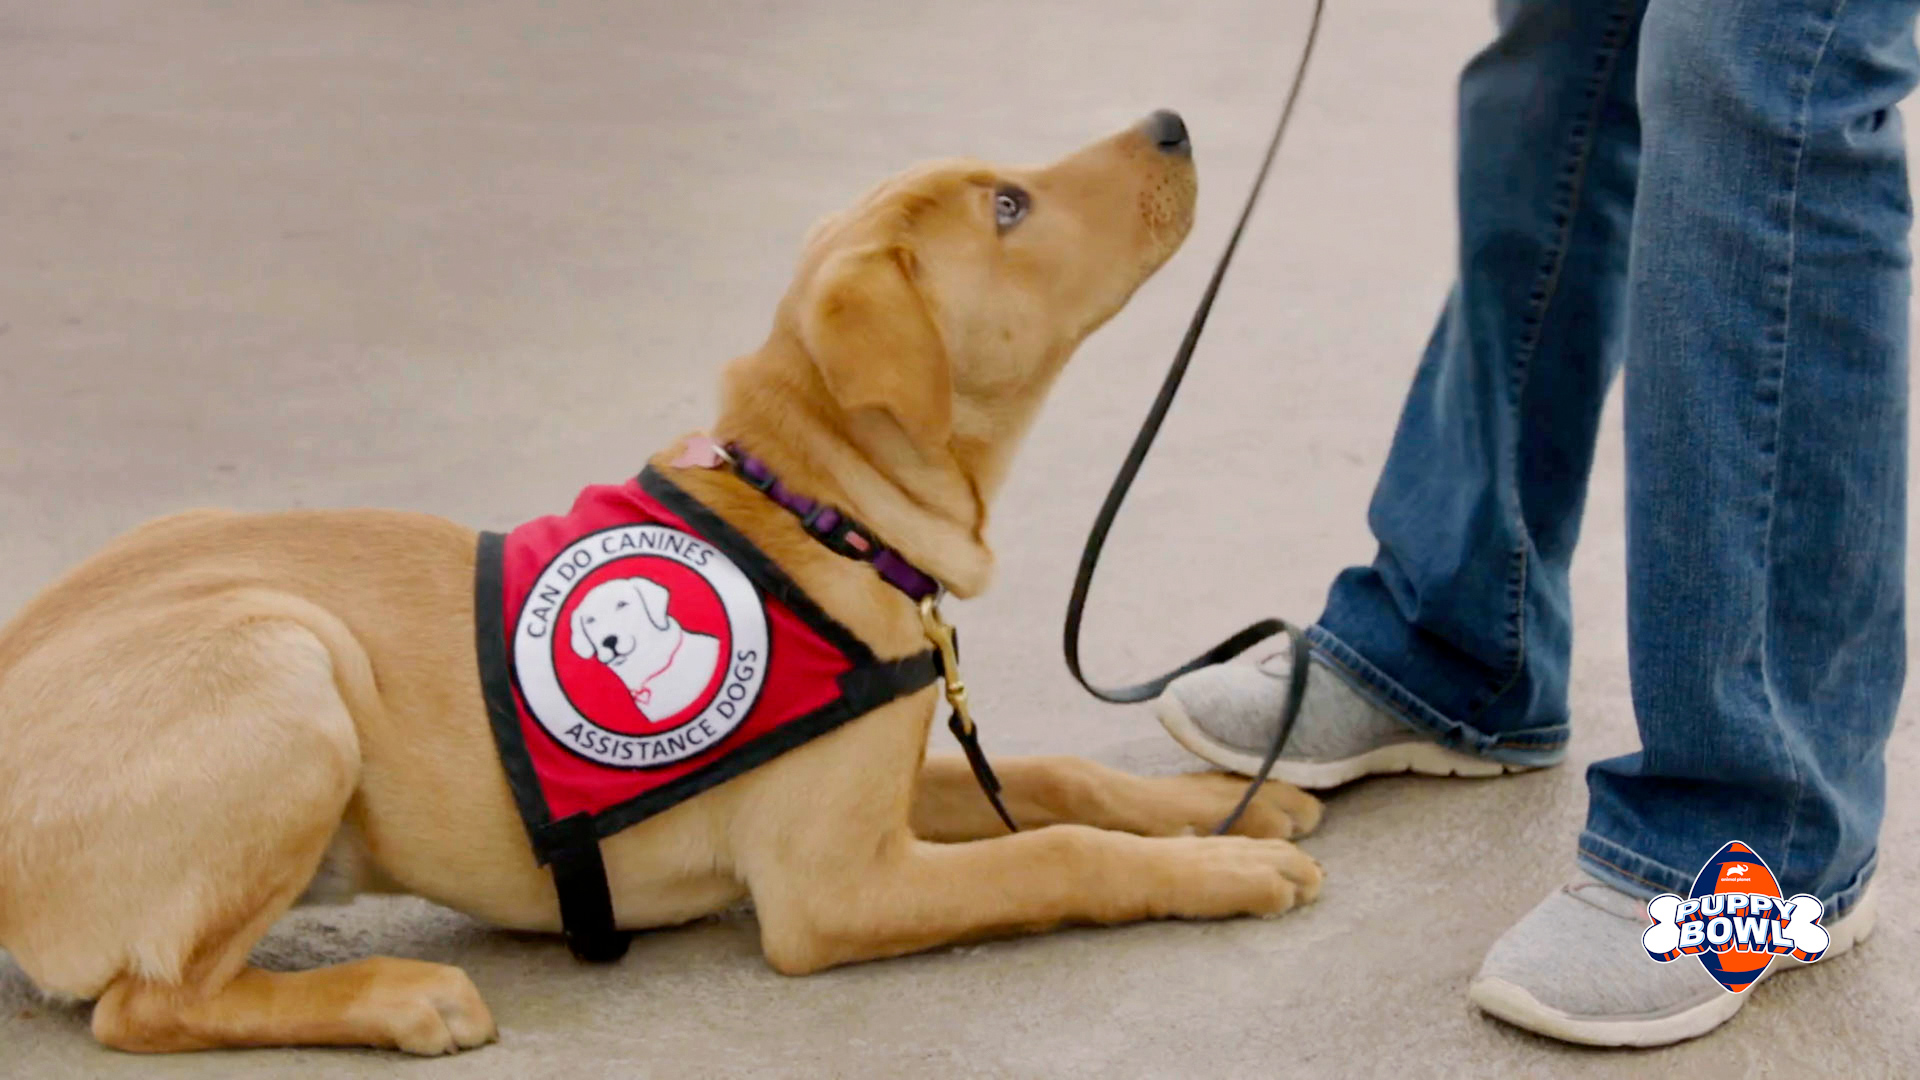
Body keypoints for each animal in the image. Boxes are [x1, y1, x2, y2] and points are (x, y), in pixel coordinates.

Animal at [0, 115, 1320, 1053]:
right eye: (1010, 204)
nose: (1172, 123)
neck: (822, 508)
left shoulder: (886, 794)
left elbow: (1056, 776)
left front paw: (1222, 807)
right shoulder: (831, 891)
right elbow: (1056, 857)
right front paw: (1221, 867)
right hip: (286, 659)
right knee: (148, 1003)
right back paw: (402, 998)